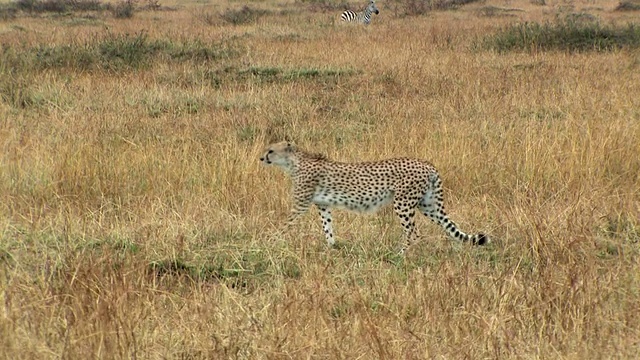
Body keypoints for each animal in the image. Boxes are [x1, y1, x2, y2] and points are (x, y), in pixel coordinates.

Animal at [262, 141, 490, 253]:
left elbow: (285, 224)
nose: (261, 158)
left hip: (403, 203)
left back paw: (401, 254)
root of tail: (427, 163)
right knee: (444, 226)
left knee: (413, 232)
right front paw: (331, 247)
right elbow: (327, 227)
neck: (294, 162)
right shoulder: (322, 205)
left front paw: (270, 240)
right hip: (427, 205)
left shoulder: (300, 205)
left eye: (270, 150)